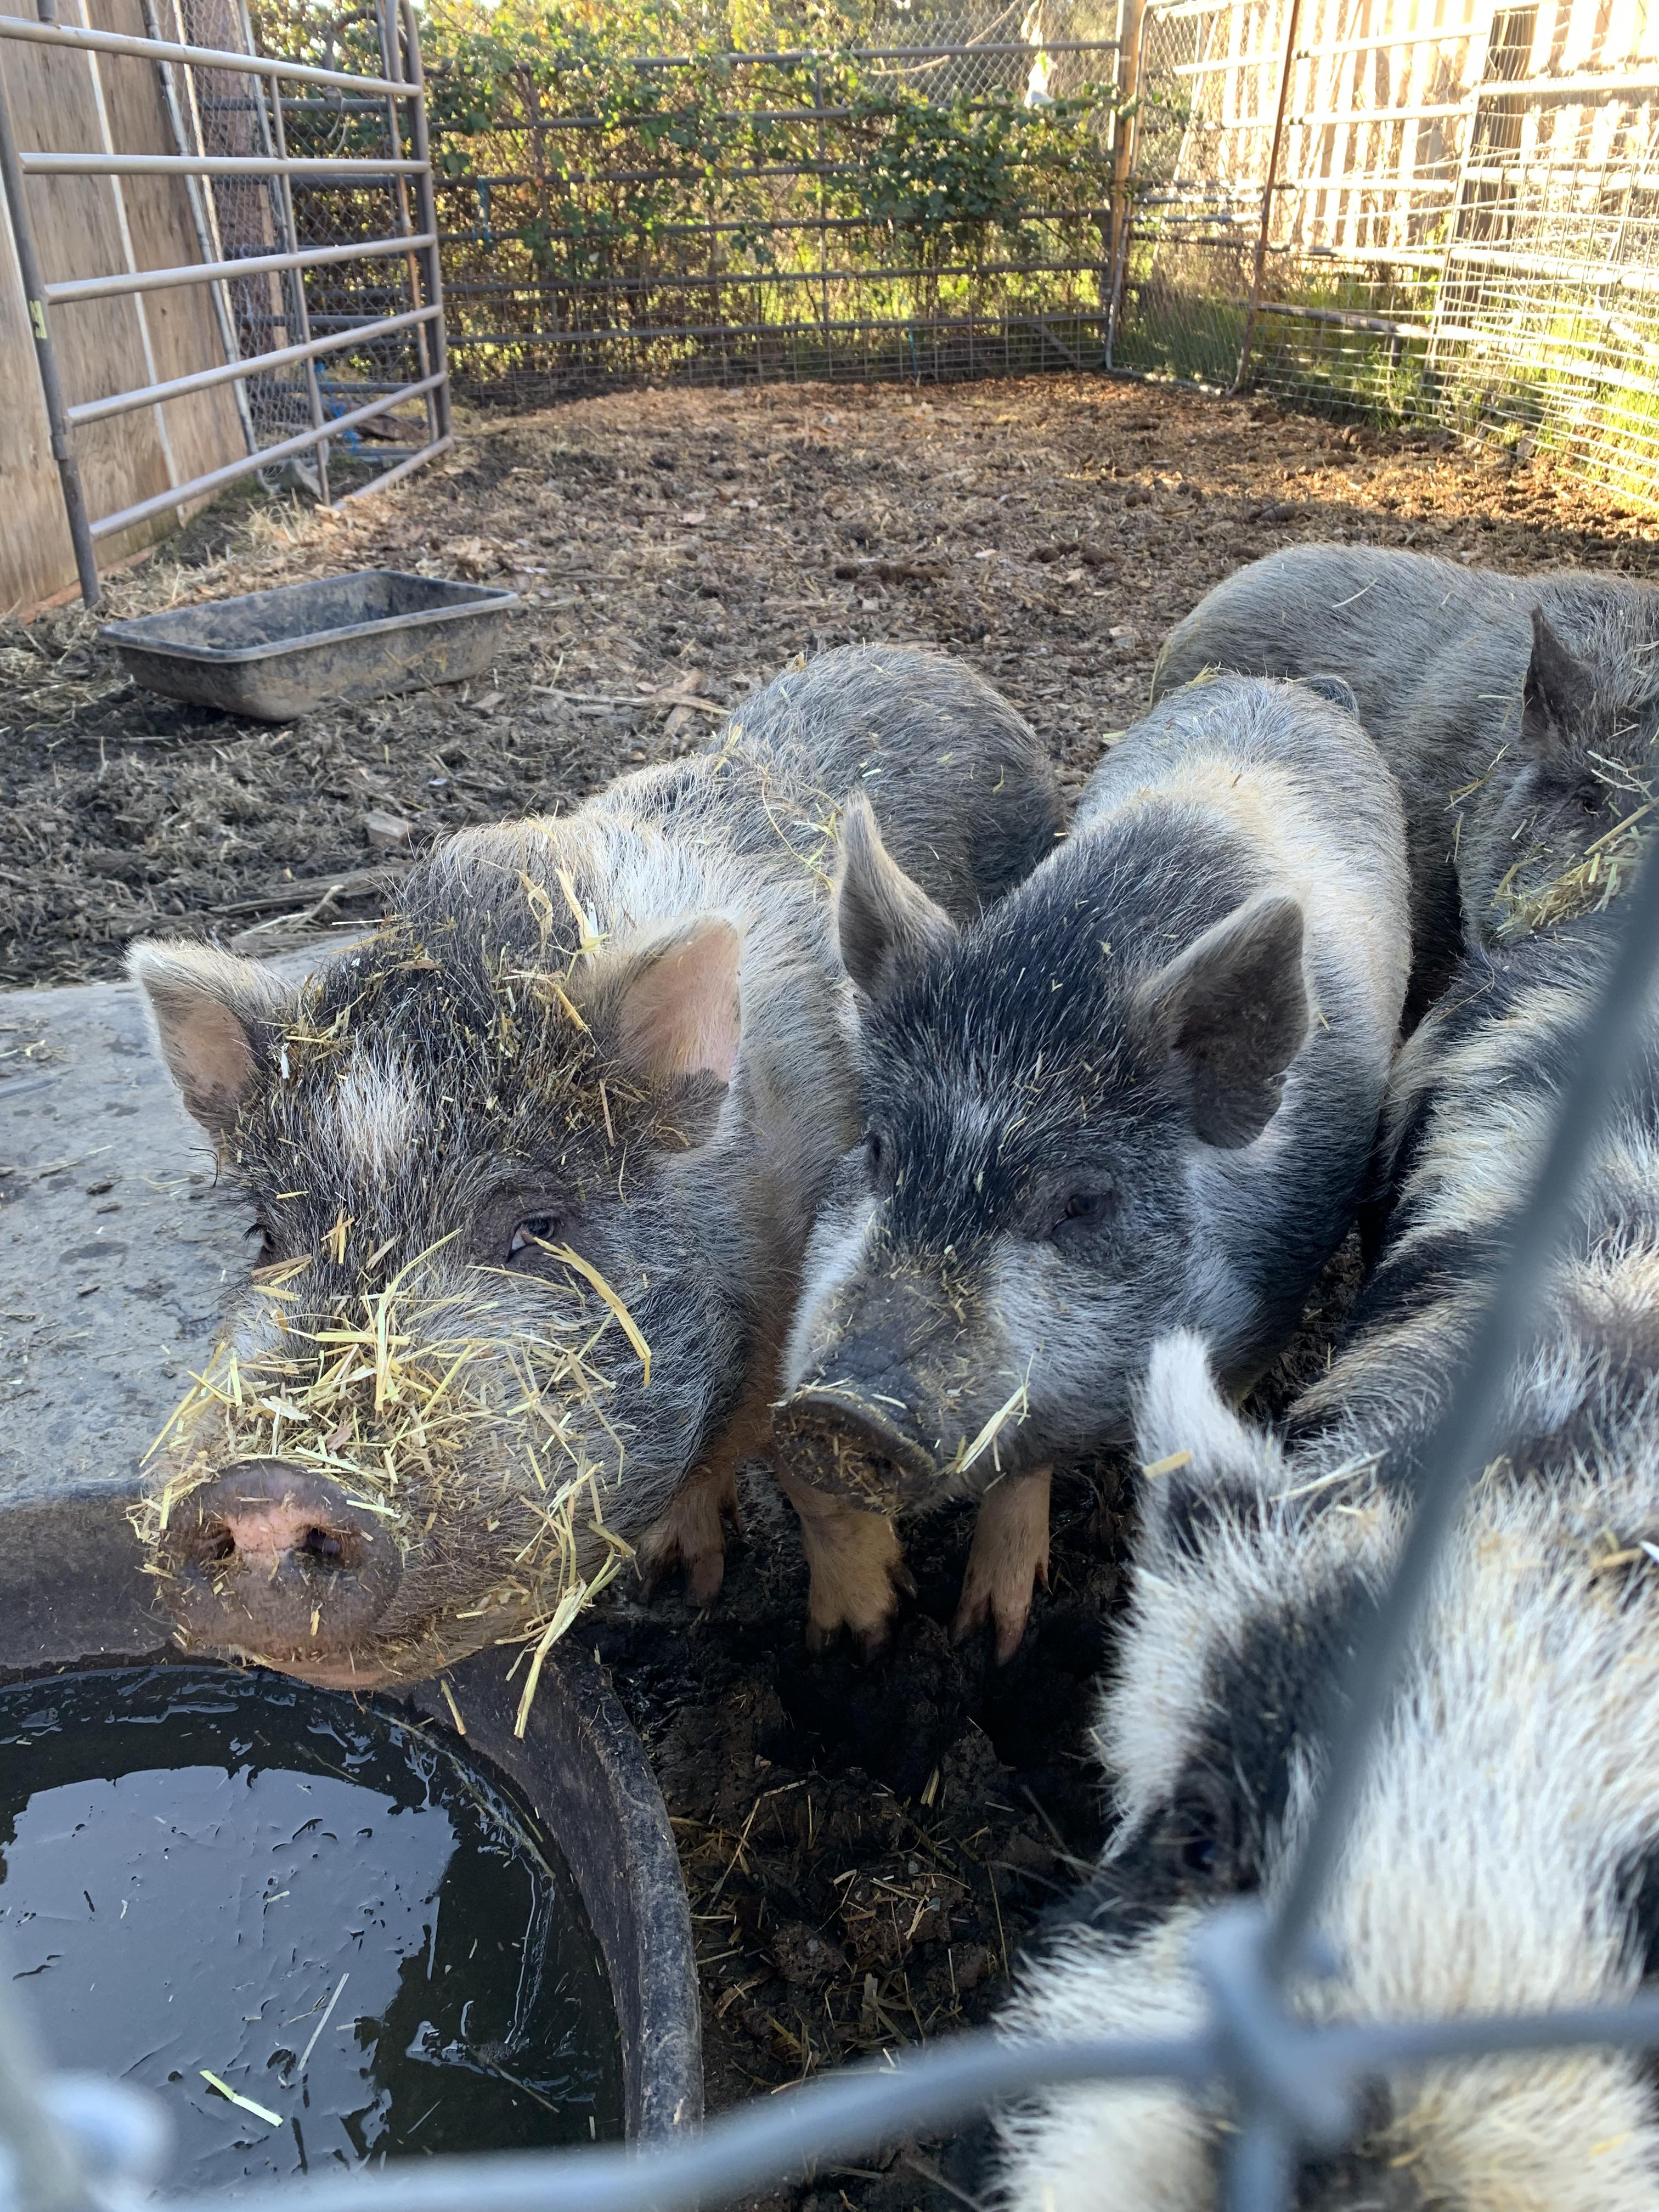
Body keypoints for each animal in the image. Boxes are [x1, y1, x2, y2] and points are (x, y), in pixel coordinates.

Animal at [127, 645, 1061, 1690]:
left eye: (538, 1227)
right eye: (265, 1234)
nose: (262, 1495)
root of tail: (932, 662)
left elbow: (815, 1474)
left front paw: (857, 1645)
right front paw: (678, 1580)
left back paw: (998, 1635)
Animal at [774, 671, 1410, 1662]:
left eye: (1081, 1203)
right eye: (879, 1151)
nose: (837, 1409)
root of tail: (1291, 688)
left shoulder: (1269, 1298)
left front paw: (995, 1641)